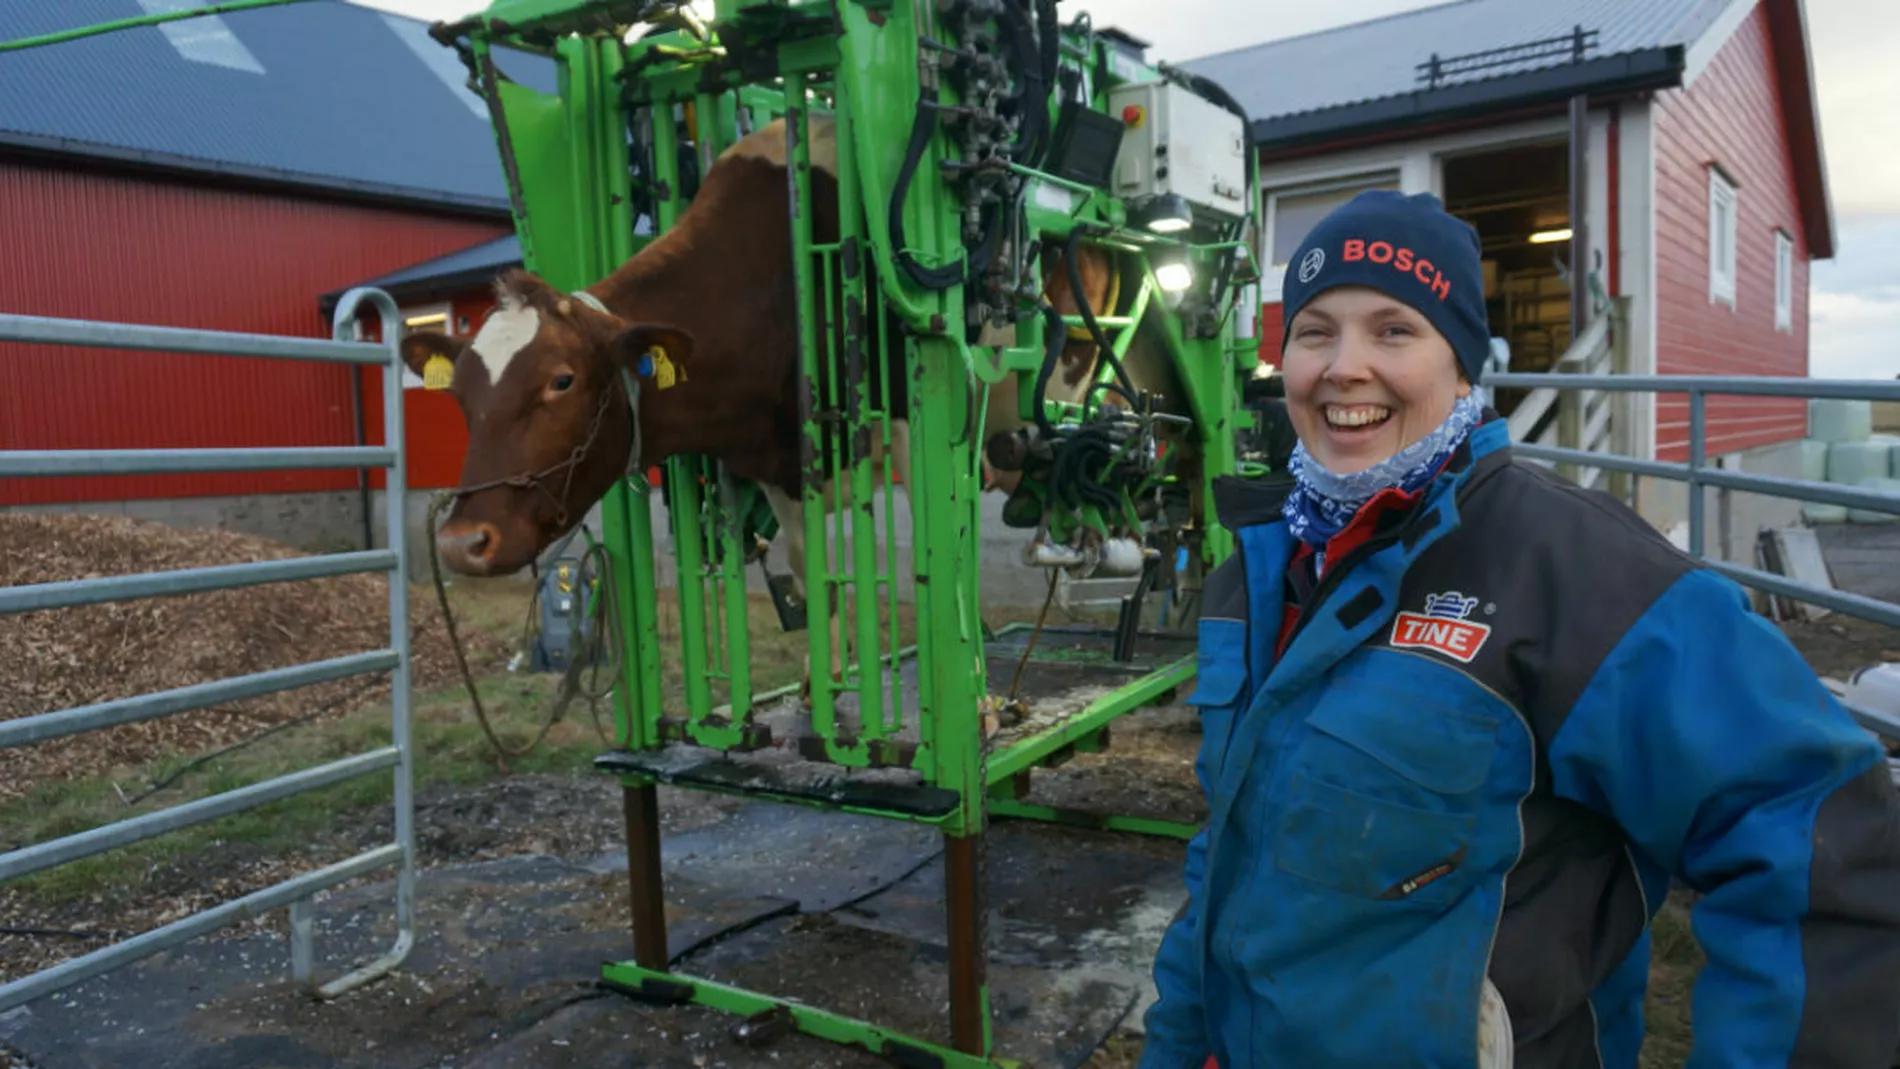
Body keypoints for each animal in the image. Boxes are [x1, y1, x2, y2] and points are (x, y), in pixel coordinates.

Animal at [404, 114, 1185, 694]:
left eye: (562, 380)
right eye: (461, 394)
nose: (462, 542)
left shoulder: (918, 423)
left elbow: (944, 573)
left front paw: (975, 702)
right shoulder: (781, 464)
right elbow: (818, 582)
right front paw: (825, 688)